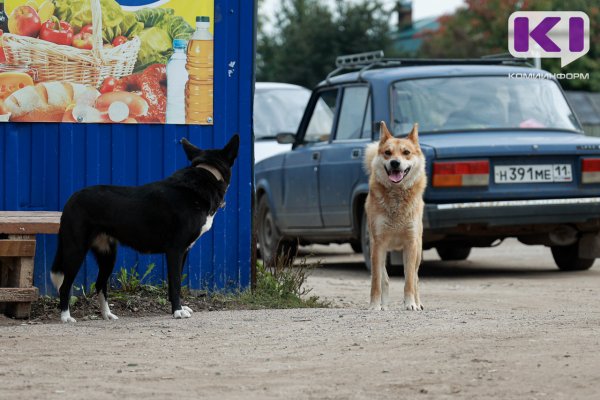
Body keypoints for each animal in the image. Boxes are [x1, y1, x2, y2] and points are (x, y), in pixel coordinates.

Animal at [51, 136, 239, 324]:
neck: (206, 176)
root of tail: (71, 199)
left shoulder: (184, 251)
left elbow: (176, 282)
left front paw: (177, 307)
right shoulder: (175, 249)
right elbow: (176, 282)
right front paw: (177, 311)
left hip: (107, 254)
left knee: (100, 284)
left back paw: (107, 314)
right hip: (75, 250)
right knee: (65, 286)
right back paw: (66, 316)